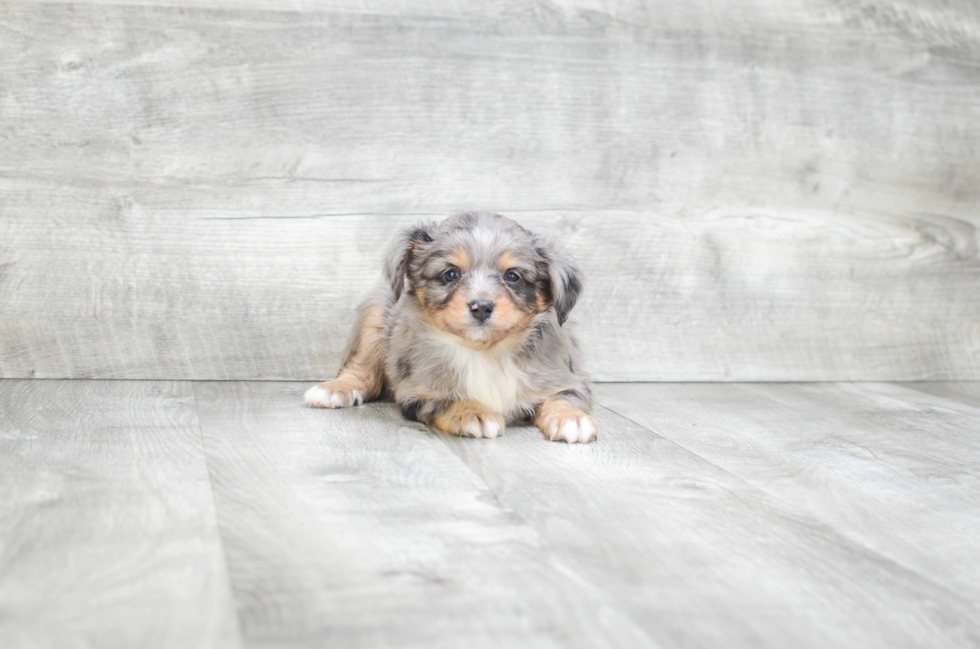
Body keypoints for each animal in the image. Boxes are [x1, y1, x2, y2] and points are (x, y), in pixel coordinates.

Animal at [304, 210, 596, 442]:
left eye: (512, 276)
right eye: (451, 274)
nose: (481, 306)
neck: (486, 352)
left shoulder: (566, 379)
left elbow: (563, 398)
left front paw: (571, 419)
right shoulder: (417, 391)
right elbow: (447, 398)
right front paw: (473, 412)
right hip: (375, 314)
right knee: (362, 371)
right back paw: (334, 390)